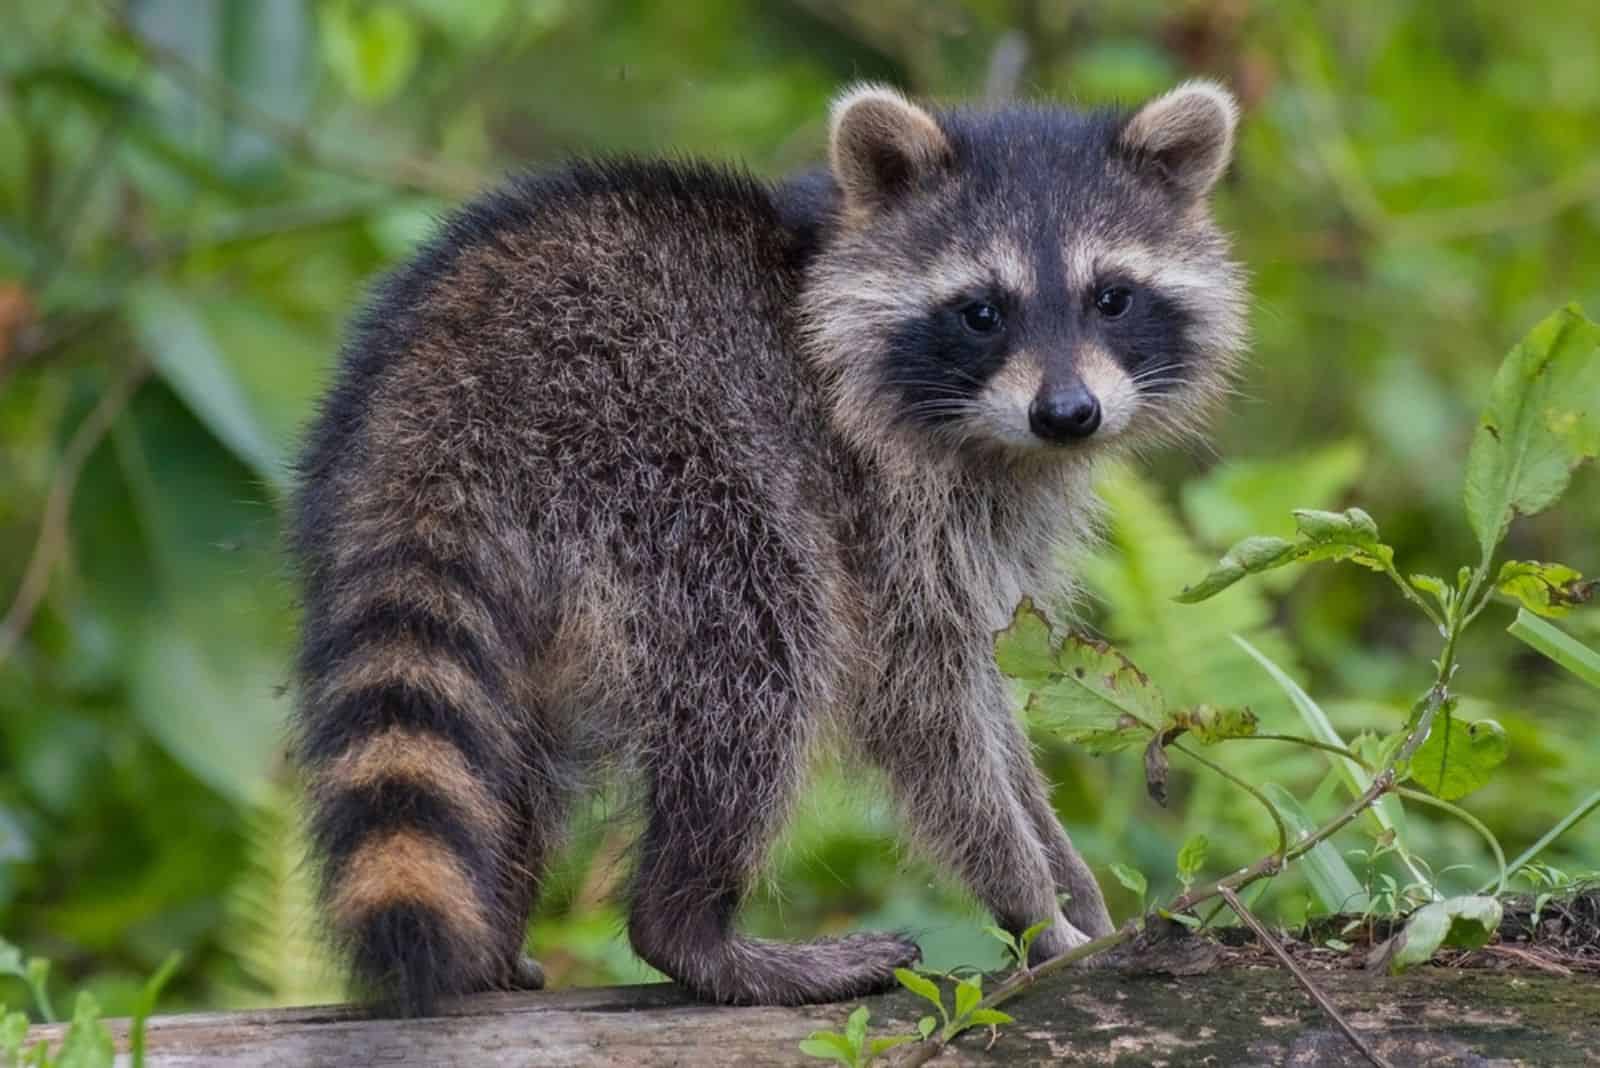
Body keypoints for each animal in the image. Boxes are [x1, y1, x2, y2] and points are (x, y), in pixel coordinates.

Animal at [291, 79, 1248, 1016]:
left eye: (1111, 297)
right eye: (981, 313)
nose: (1067, 414)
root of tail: (444, 390)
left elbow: (984, 687)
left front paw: (1067, 875)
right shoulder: (879, 502)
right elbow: (923, 704)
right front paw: (1031, 900)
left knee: (516, 742)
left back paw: (495, 937)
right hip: (661, 466)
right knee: (759, 656)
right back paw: (691, 926)